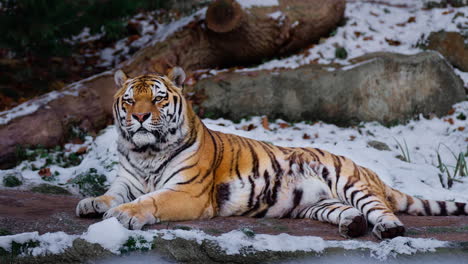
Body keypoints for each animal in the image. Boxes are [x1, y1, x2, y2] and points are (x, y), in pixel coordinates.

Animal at [75, 66, 466, 239]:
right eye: (130, 100)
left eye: (156, 99)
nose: (140, 117)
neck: (146, 152)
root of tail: (371, 173)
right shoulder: (127, 180)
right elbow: (111, 193)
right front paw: (92, 203)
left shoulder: (188, 191)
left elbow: (151, 200)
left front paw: (124, 215)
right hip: (318, 203)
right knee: (349, 212)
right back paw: (352, 225)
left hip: (350, 181)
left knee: (381, 209)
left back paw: (388, 229)